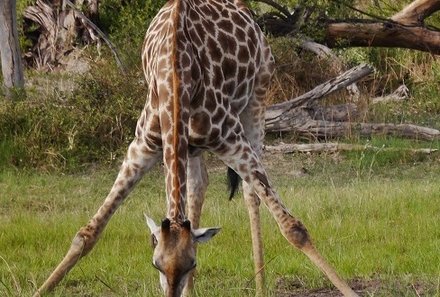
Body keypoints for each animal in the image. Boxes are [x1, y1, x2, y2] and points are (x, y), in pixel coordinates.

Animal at [33, 0, 358, 296]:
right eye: (155, 264)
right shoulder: (143, 146)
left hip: (257, 97)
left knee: (249, 194)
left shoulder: (230, 140)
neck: (176, 74)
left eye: (192, 264)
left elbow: (293, 228)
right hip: (191, 148)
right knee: (199, 187)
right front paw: (43, 288)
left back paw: (260, 286)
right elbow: (87, 233)